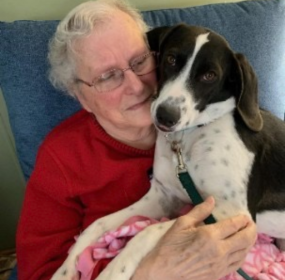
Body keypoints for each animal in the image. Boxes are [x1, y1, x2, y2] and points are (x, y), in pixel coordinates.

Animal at [52, 24, 284, 280]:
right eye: (171, 59)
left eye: (210, 75)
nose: (166, 116)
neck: (188, 137)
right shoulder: (163, 196)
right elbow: (97, 225)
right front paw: (65, 270)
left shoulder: (234, 214)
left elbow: (150, 231)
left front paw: (114, 270)